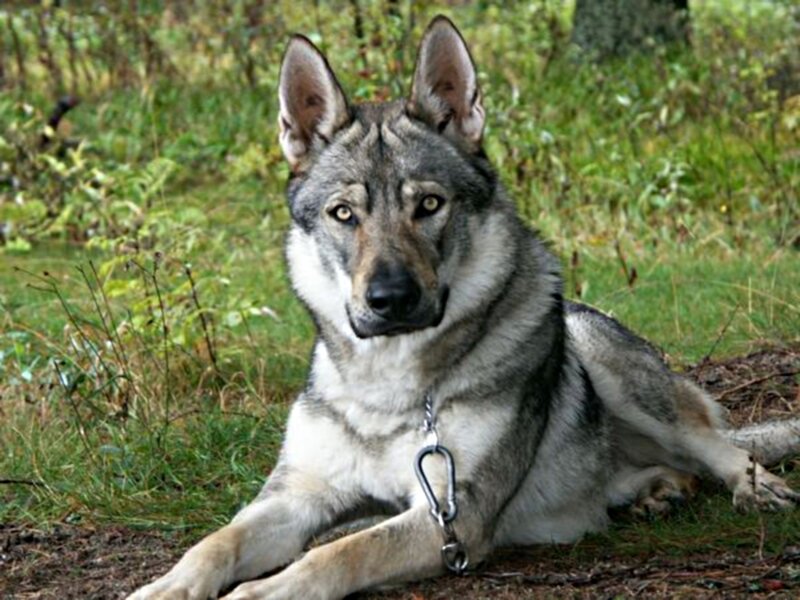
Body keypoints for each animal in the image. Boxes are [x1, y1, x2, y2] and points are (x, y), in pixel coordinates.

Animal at [130, 16, 800, 600]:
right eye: (344, 214)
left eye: (428, 204)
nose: (391, 299)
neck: (387, 390)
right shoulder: (299, 495)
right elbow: (215, 542)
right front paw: (164, 587)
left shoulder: (453, 515)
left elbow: (337, 554)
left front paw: (259, 592)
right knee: (666, 467)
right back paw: (653, 491)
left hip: (611, 366)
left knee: (717, 447)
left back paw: (755, 488)